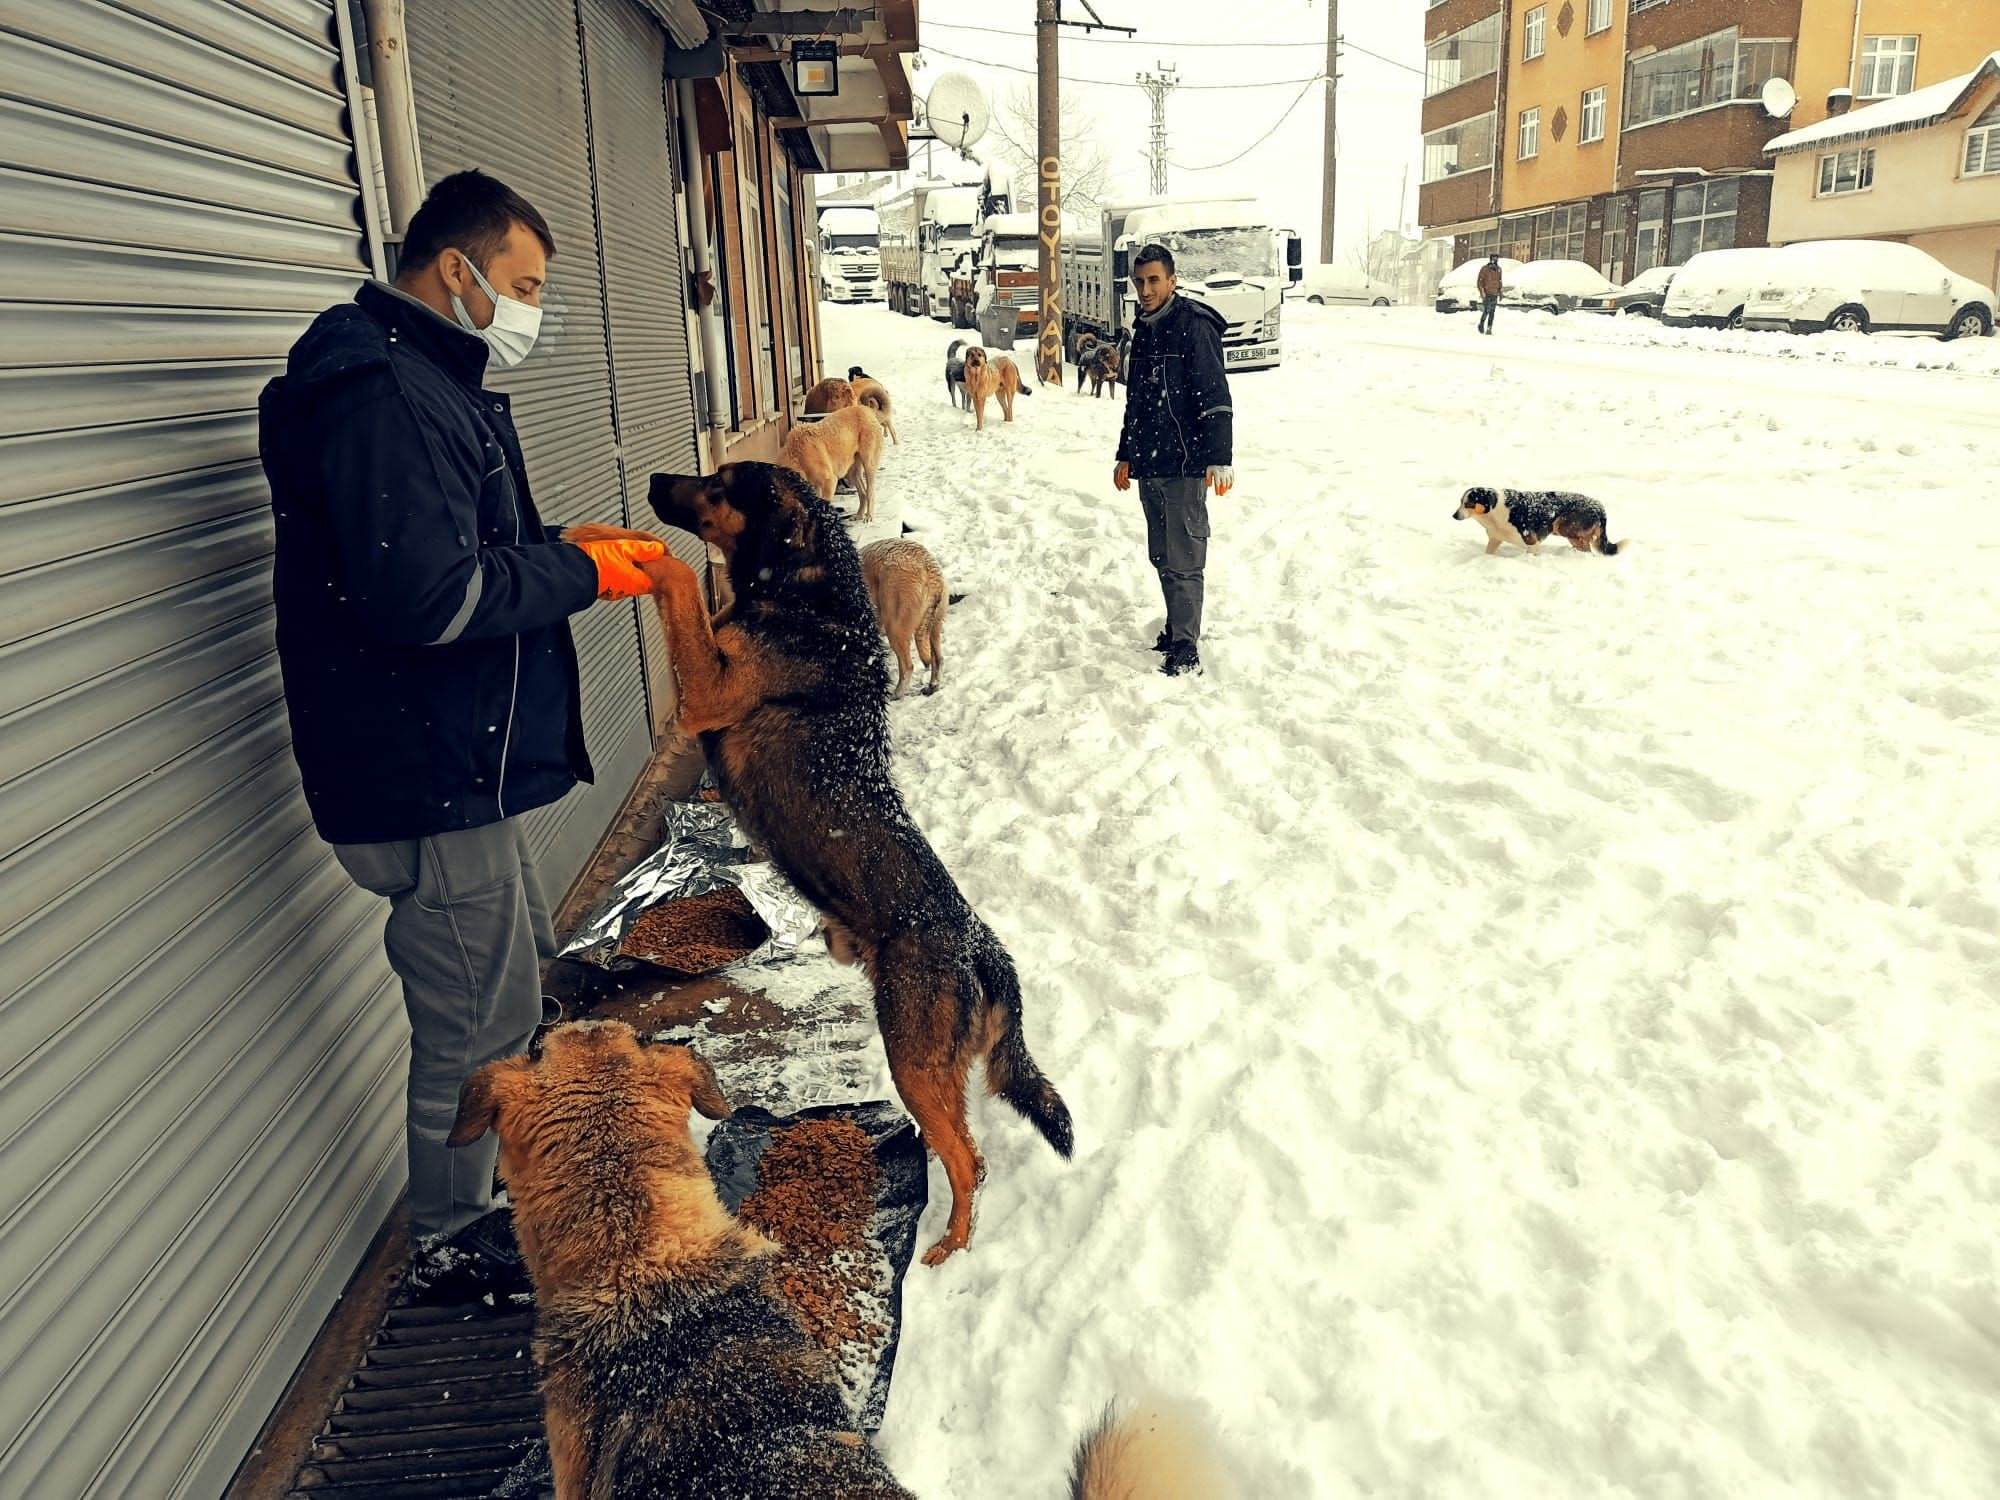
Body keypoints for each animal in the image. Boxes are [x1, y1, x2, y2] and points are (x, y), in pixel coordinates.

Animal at [864, 536, 948, 704]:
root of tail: (928, 567)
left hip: (895, 628)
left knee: (908, 666)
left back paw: (896, 695)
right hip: (934, 625)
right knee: (938, 658)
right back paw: (932, 686)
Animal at [1456, 488, 1624, 560]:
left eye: (1469, 503)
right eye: (1460, 502)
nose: (1454, 515)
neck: (1494, 510)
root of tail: (1600, 507)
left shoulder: (1532, 543)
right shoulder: (1495, 538)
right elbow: (1488, 552)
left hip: (1562, 526)